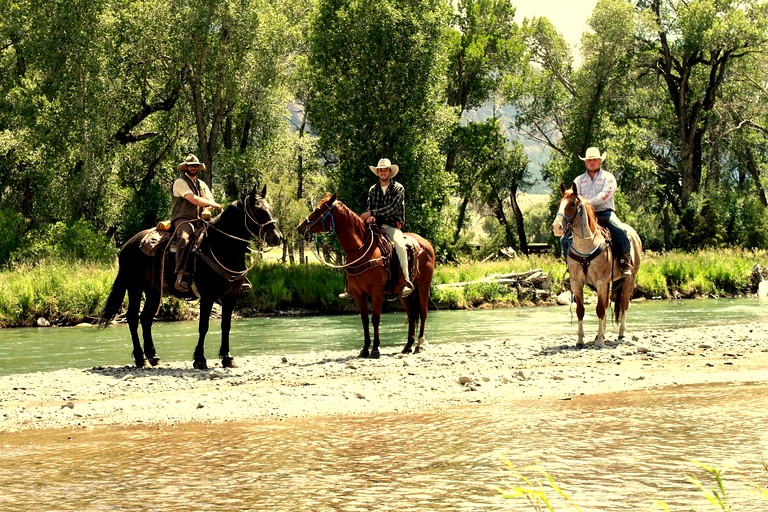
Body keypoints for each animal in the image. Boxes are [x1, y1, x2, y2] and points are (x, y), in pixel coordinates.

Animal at [296, 194, 436, 358]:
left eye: (318, 210)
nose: (300, 227)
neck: (361, 250)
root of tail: (426, 243)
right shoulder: (358, 293)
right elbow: (364, 320)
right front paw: (364, 349)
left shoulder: (376, 291)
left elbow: (375, 319)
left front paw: (375, 349)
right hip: (404, 293)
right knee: (412, 314)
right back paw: (407, 346)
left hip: (423, 285)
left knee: (423, 312)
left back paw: (419, 345)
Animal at [552, 183, 640, 348]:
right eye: (559, 203)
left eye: (572, 204)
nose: (556, 227)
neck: (586, 247)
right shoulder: (577, 283)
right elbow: (581, 310)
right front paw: (580, 340)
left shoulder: (600, 282)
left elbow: (599, 309)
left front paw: (599, 341)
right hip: (608, 283)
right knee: (607, 305)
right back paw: (603, 333)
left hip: (629, 280)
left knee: (624, 304)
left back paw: (621, 333)